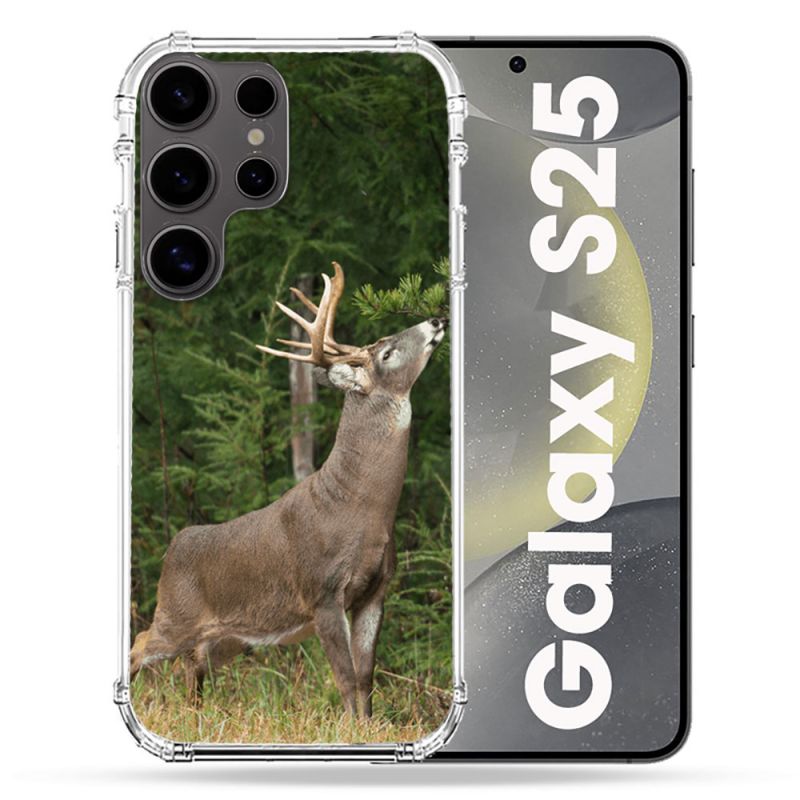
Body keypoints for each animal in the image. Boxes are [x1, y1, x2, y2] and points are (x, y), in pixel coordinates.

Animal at [129, 262, 447, 718]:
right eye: (386, 353)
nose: (437, 320)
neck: (361, 509)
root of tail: (173, 548)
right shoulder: (323, 592)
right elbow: (345, 678)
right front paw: (351, 728)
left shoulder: (376, 591)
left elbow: (366, 677)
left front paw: (369, 726)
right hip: (176, 613)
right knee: (141, 644)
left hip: (228, 636)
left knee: (190, 664)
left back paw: (197, 714)